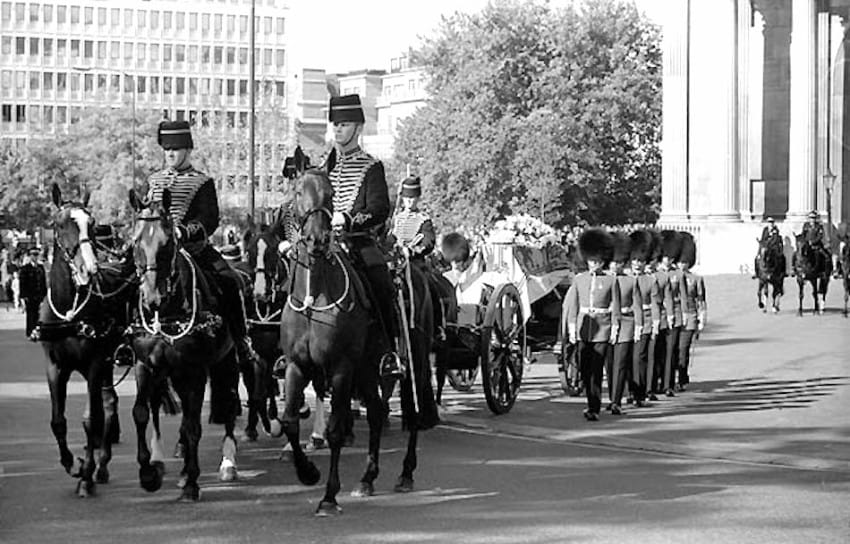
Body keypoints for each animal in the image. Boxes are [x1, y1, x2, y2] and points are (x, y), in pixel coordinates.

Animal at [38, 184, 137, 498]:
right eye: (60, 224)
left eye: (91, 225)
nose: (88, 269)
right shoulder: (55, 367)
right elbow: (58, 421)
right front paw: (72, 463)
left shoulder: (94, 363)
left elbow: (91, 420)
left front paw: (85, 476)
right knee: (108, 401)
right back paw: (101, 464)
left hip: (105, 362)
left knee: (106, 407)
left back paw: (100, 465)